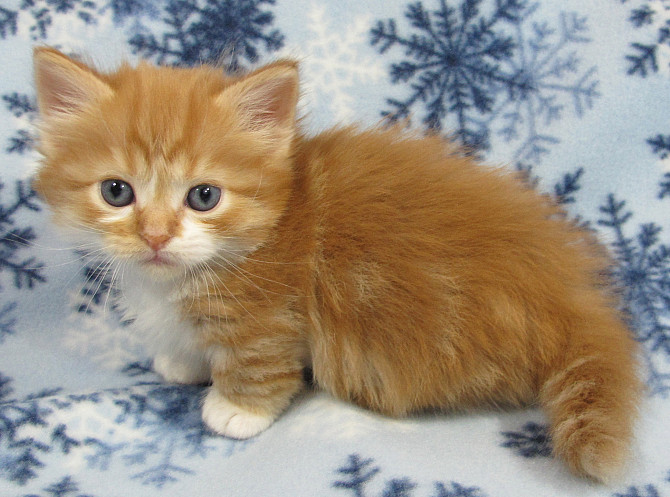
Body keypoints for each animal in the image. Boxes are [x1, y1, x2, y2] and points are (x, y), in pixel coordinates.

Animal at [34, 46, 644, 480]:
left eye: (204, 197)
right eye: (117, 192)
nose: (156, 236)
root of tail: (568, 295)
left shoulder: (271, 316)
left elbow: (260, 361)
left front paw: (236, 408)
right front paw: (183, 360)